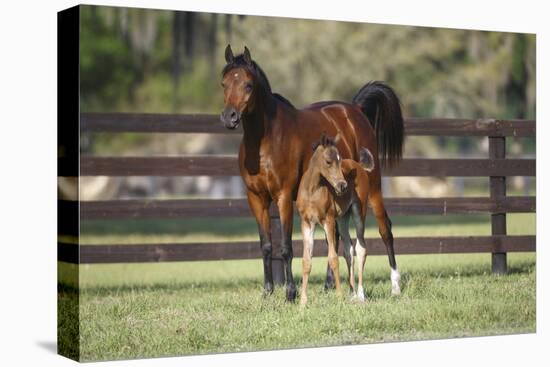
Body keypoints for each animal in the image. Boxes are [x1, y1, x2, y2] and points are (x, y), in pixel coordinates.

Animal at [298, 134, 392, 304]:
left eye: (340, 160)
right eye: (328, 161)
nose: (342, 186)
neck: (312, 191)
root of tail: (359, 166)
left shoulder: (328, 220)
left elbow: (333, 258)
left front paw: (339, 296)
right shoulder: (307, 223)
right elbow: (306, 260)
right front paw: (303, 301)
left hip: (358, 212)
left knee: (361, 248)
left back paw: (360, 294)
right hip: (342, 219)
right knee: (348, 250)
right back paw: (352, 293)